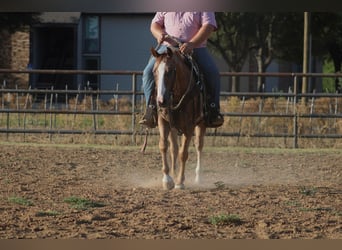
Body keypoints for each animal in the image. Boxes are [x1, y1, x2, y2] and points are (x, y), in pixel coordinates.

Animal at [152, 46, 206, 189]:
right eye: (154, 72)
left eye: (170, 71)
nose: (161, 101)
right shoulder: (163, 121)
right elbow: (164, 146)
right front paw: (167, 179)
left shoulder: (189, 127)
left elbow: (183, 153)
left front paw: (180, 182)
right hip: (174, 127)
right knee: (174, 149)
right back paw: (174, 175)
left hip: (201, 124)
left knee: (198, 146)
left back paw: (198, 177)